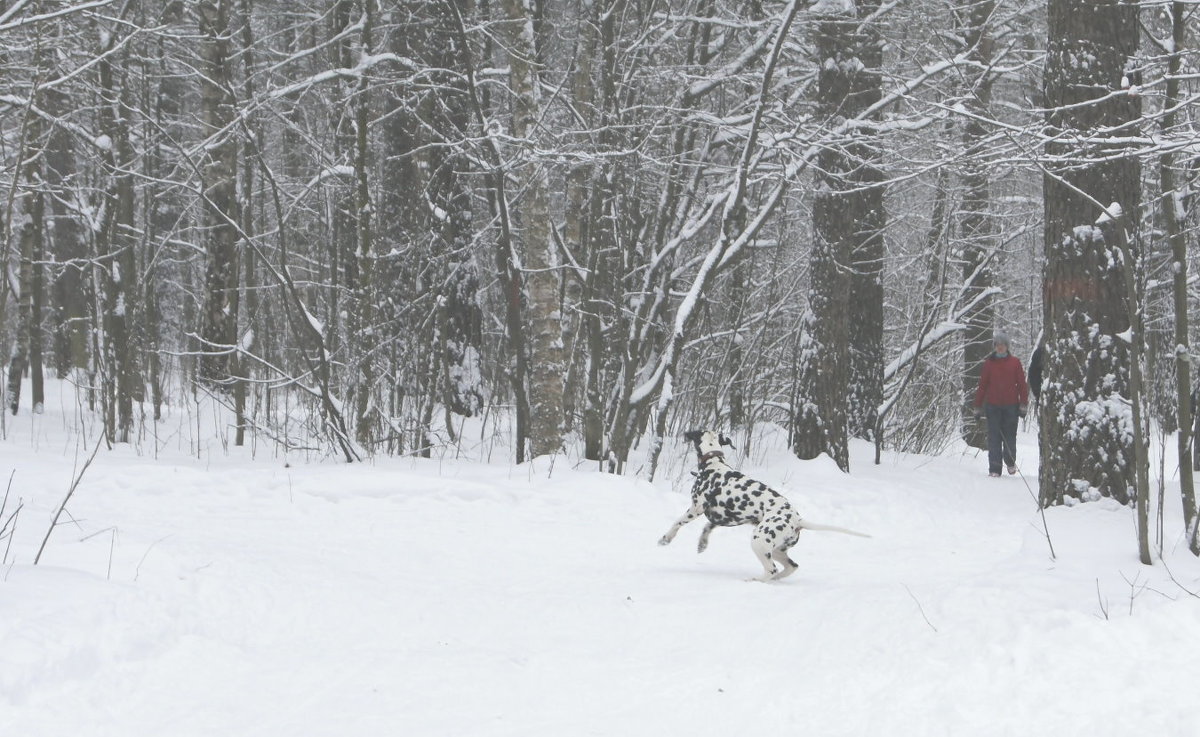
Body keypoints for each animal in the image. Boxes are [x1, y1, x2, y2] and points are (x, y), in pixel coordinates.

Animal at [657, 429, 873, 580]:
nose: (685, 433)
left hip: (759, 542)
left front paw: (666, 538)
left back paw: (756, 580)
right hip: (776, 549)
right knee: (791, 567)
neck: (714, 463)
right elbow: (708, 527)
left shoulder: (696, 508)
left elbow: (677, 523)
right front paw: (702, 543)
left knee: (771, 569)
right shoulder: (723, 517)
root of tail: (797, 520)